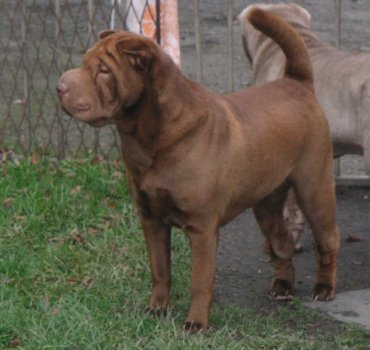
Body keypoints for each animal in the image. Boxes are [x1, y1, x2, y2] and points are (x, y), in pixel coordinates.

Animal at [57, 7, 338, 330]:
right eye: (84, 62)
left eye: (103, 70)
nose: (60, 86)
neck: (150, 138)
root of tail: (297, 83)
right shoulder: (151, 219)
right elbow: (160, 270)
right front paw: (157, 308)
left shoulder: (202, 227)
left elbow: (200, 280)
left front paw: (196, 323)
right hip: (266, 200)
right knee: (281, 241)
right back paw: (282, 286)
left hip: (314, 189)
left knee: (328, 241)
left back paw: (324, 288)